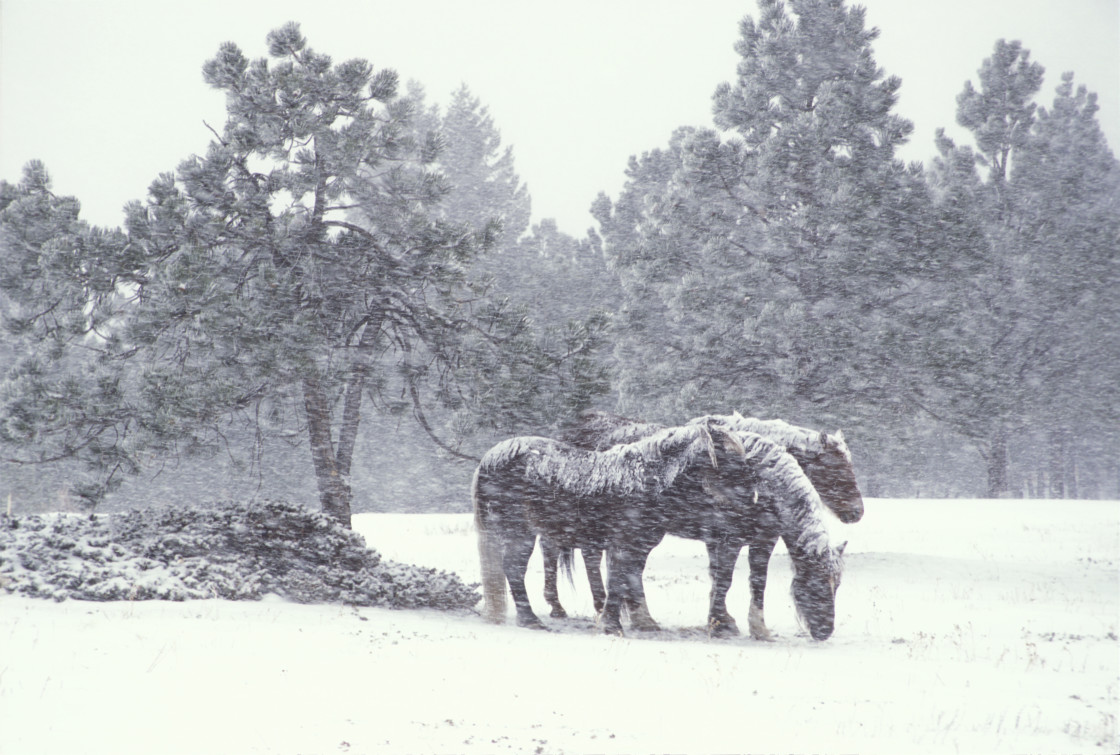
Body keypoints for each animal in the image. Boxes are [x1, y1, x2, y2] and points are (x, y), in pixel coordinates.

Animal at [468, 421, 842, 636]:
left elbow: (631, 580)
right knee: (515, 570)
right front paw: (615, 625)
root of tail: (492, 457)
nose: (825, 632)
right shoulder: (630, 542)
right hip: (521, 531)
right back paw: (533, 618)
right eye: (815, 586)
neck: (644, 476)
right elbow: (623, 579)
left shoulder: (644, 542)